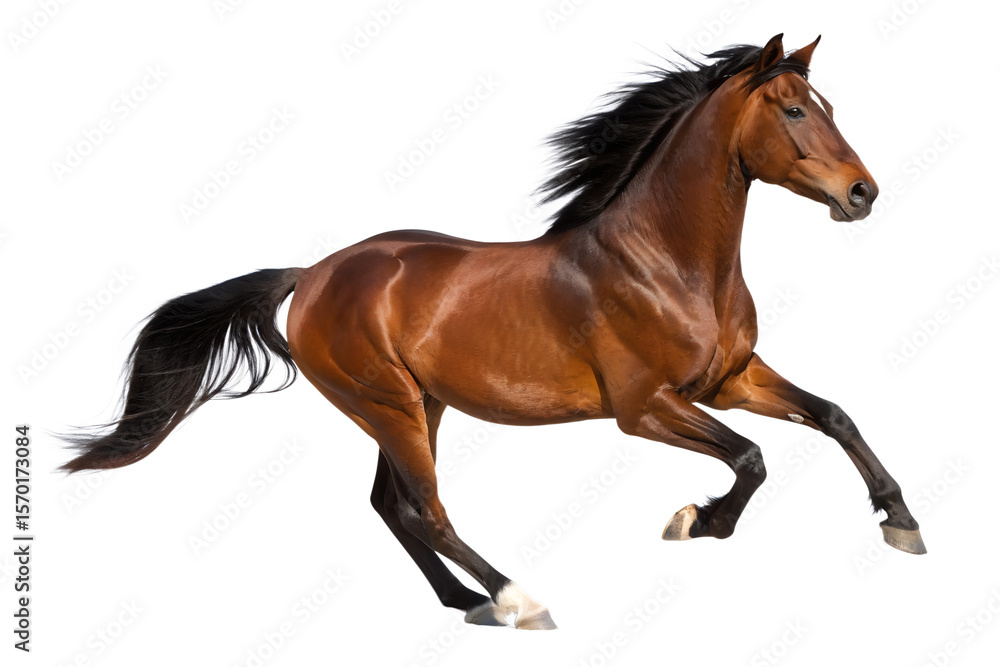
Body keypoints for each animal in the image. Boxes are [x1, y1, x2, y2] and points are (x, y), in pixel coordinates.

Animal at [61, 34, 926, 631]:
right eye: (794, 109)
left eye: (829, 107)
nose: (863, 193)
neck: (669, 261)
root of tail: (311, 275)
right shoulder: (646, 407)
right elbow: (750, 457)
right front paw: (696, 520)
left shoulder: (731, 378)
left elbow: (835, 415)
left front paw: (902, 522)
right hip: (387, 405)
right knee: (425, 509)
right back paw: (517, 599)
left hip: (419, 405)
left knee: (389, 503)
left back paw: (465, 601)